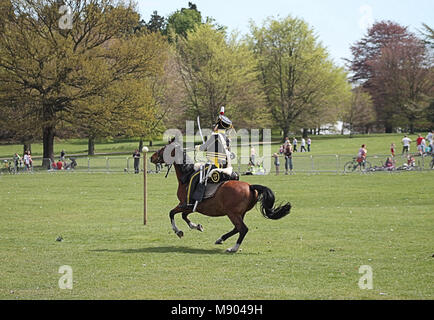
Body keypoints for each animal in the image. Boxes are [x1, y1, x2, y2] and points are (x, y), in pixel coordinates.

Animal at [149, 139, 292, 252]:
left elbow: (172, 213)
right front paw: (197, 226)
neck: (187, 174)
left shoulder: (184, 204)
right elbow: (184, 216)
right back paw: (220, 239)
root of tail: (250, 186)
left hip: (232, 213)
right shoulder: (191, 207)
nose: (151, 157)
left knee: (243, 229)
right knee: (236, 229)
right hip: (239, 213)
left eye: (163, 149)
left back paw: (233, 248)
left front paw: (178, 231)